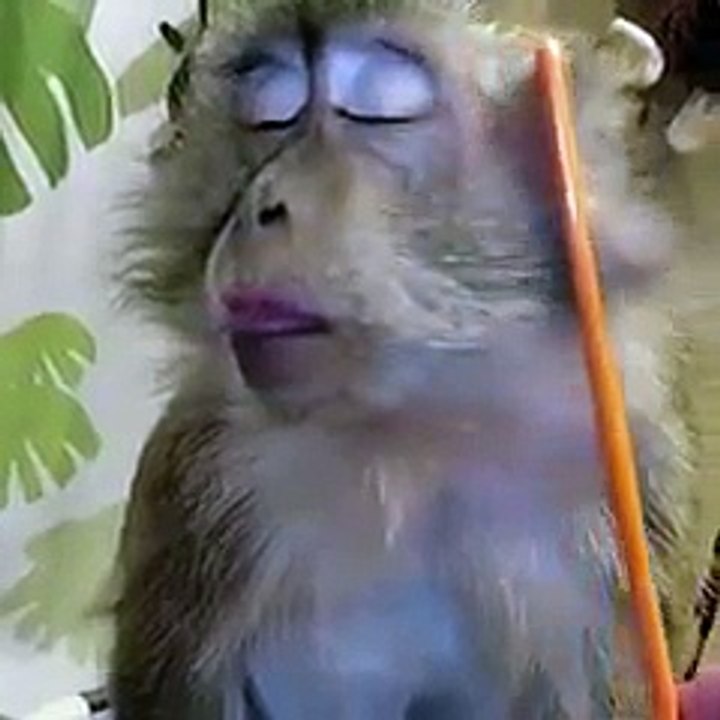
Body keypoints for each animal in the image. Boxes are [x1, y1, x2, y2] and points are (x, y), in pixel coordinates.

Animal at [110, 1, 694, 717]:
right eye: (269, 108)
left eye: (381, 102)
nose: (262, 206)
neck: (418, 432)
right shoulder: (200, 465)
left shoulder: (631, 468)